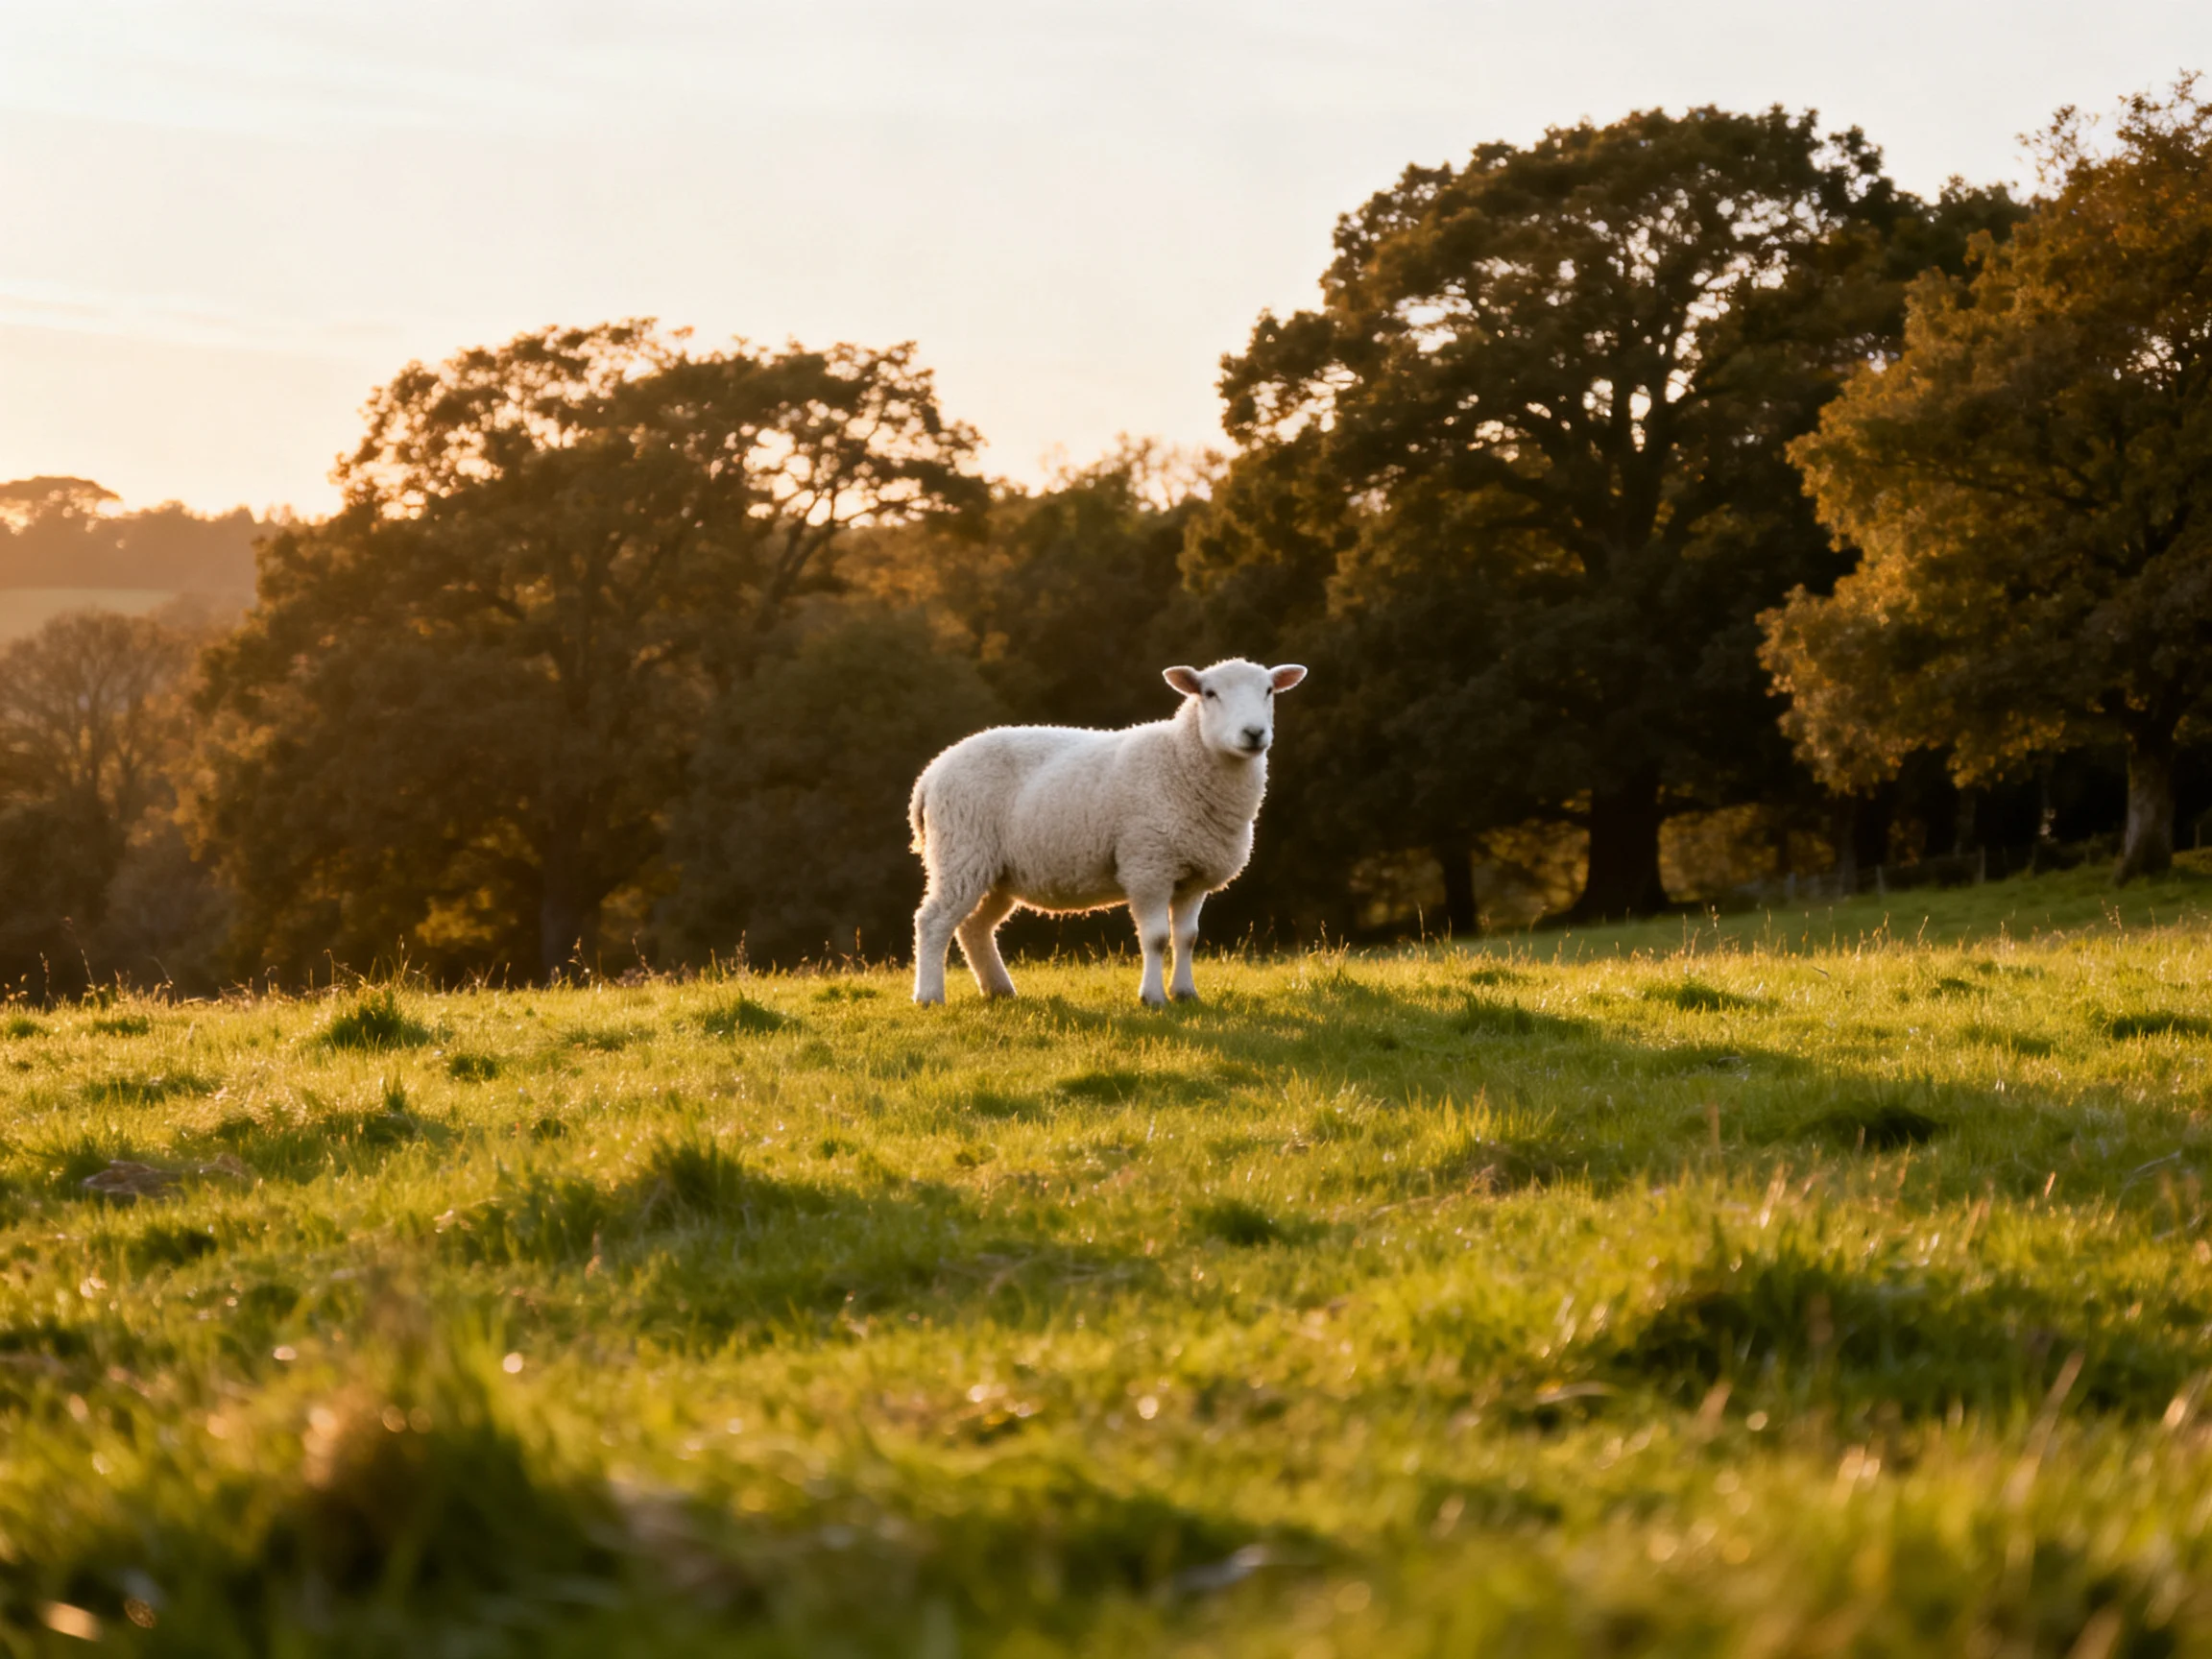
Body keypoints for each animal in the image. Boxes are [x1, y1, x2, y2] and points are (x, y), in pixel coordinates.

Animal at [909, 658, 1307, 1006]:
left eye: (1269, 690)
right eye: (1209, 693)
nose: (1254, 733)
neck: (1179, 759)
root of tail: (930, 773)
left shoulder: (1192, 875)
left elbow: (1187, 938)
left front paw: (1185, 994)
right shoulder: (1148, 865)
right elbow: (1156, 938)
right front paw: (1153, 998)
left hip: (995, 871)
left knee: (973, 927)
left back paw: (999, 989)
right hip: (961, 851)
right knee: (933, 921)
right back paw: (929, 996)